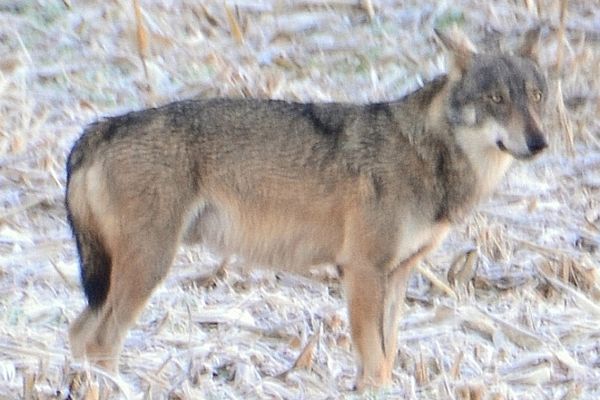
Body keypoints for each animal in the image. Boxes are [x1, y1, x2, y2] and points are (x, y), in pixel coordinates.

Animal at [65, 28, 548, 390]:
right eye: (496, 99)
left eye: (536, 96)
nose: (539, 142)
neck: (427, 154)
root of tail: (100, 128)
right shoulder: (362, 271)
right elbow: (374, 360)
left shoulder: (396, 276)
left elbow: (387, 356)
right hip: (149, 267)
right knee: (100, 341)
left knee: (78, 332)